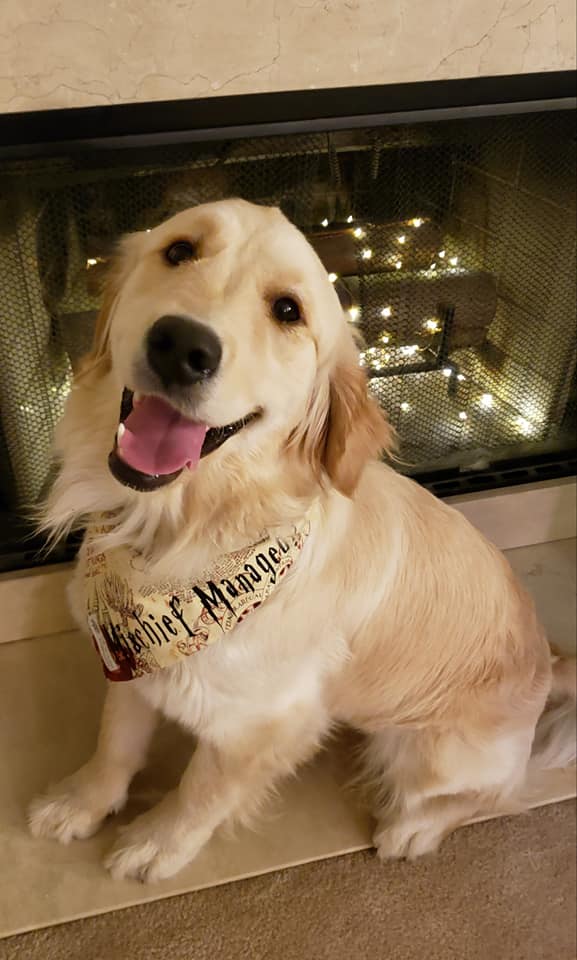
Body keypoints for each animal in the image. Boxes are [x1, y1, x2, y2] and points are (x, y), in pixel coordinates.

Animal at [28, 199, 576, 880]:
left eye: (288, 310)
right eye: (178, 250)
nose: (182, 346)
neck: (180, 536)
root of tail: (549, 664)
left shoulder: (266, 725)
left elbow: (202, 791)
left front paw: (157, 842)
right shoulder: (129, 658)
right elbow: (114, 744)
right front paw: (80, 803)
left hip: (432, 755)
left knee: (491, 796)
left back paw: (412, 829)